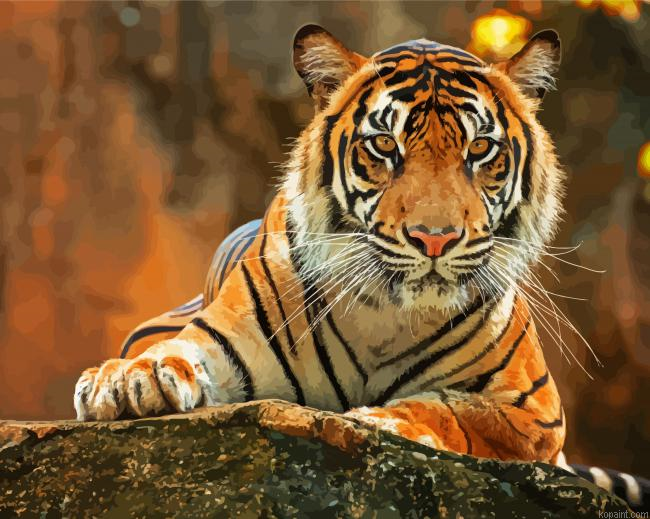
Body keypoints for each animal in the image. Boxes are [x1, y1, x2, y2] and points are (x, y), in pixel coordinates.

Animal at [73, 24, 649, 511]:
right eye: (385, 145)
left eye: (481, 149)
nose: (435, 238)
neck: (387, 313)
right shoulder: (221, 337)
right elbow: (170, 352)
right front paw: (126, 380)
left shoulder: (534, 411)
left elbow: (451, 409)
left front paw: (380, 423)